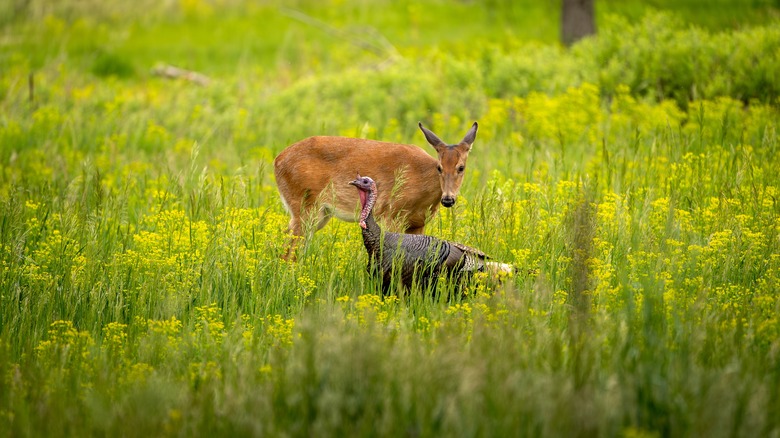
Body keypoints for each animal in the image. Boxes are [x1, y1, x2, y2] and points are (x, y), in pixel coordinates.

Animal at [273, 121, 478, 259]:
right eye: (439, 167)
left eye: (461, 167)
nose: (448, 199)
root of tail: (277, 161)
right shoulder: (390, 215)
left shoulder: (418, 223)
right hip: (304, 207)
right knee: (289, 251)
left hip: (319, 214)